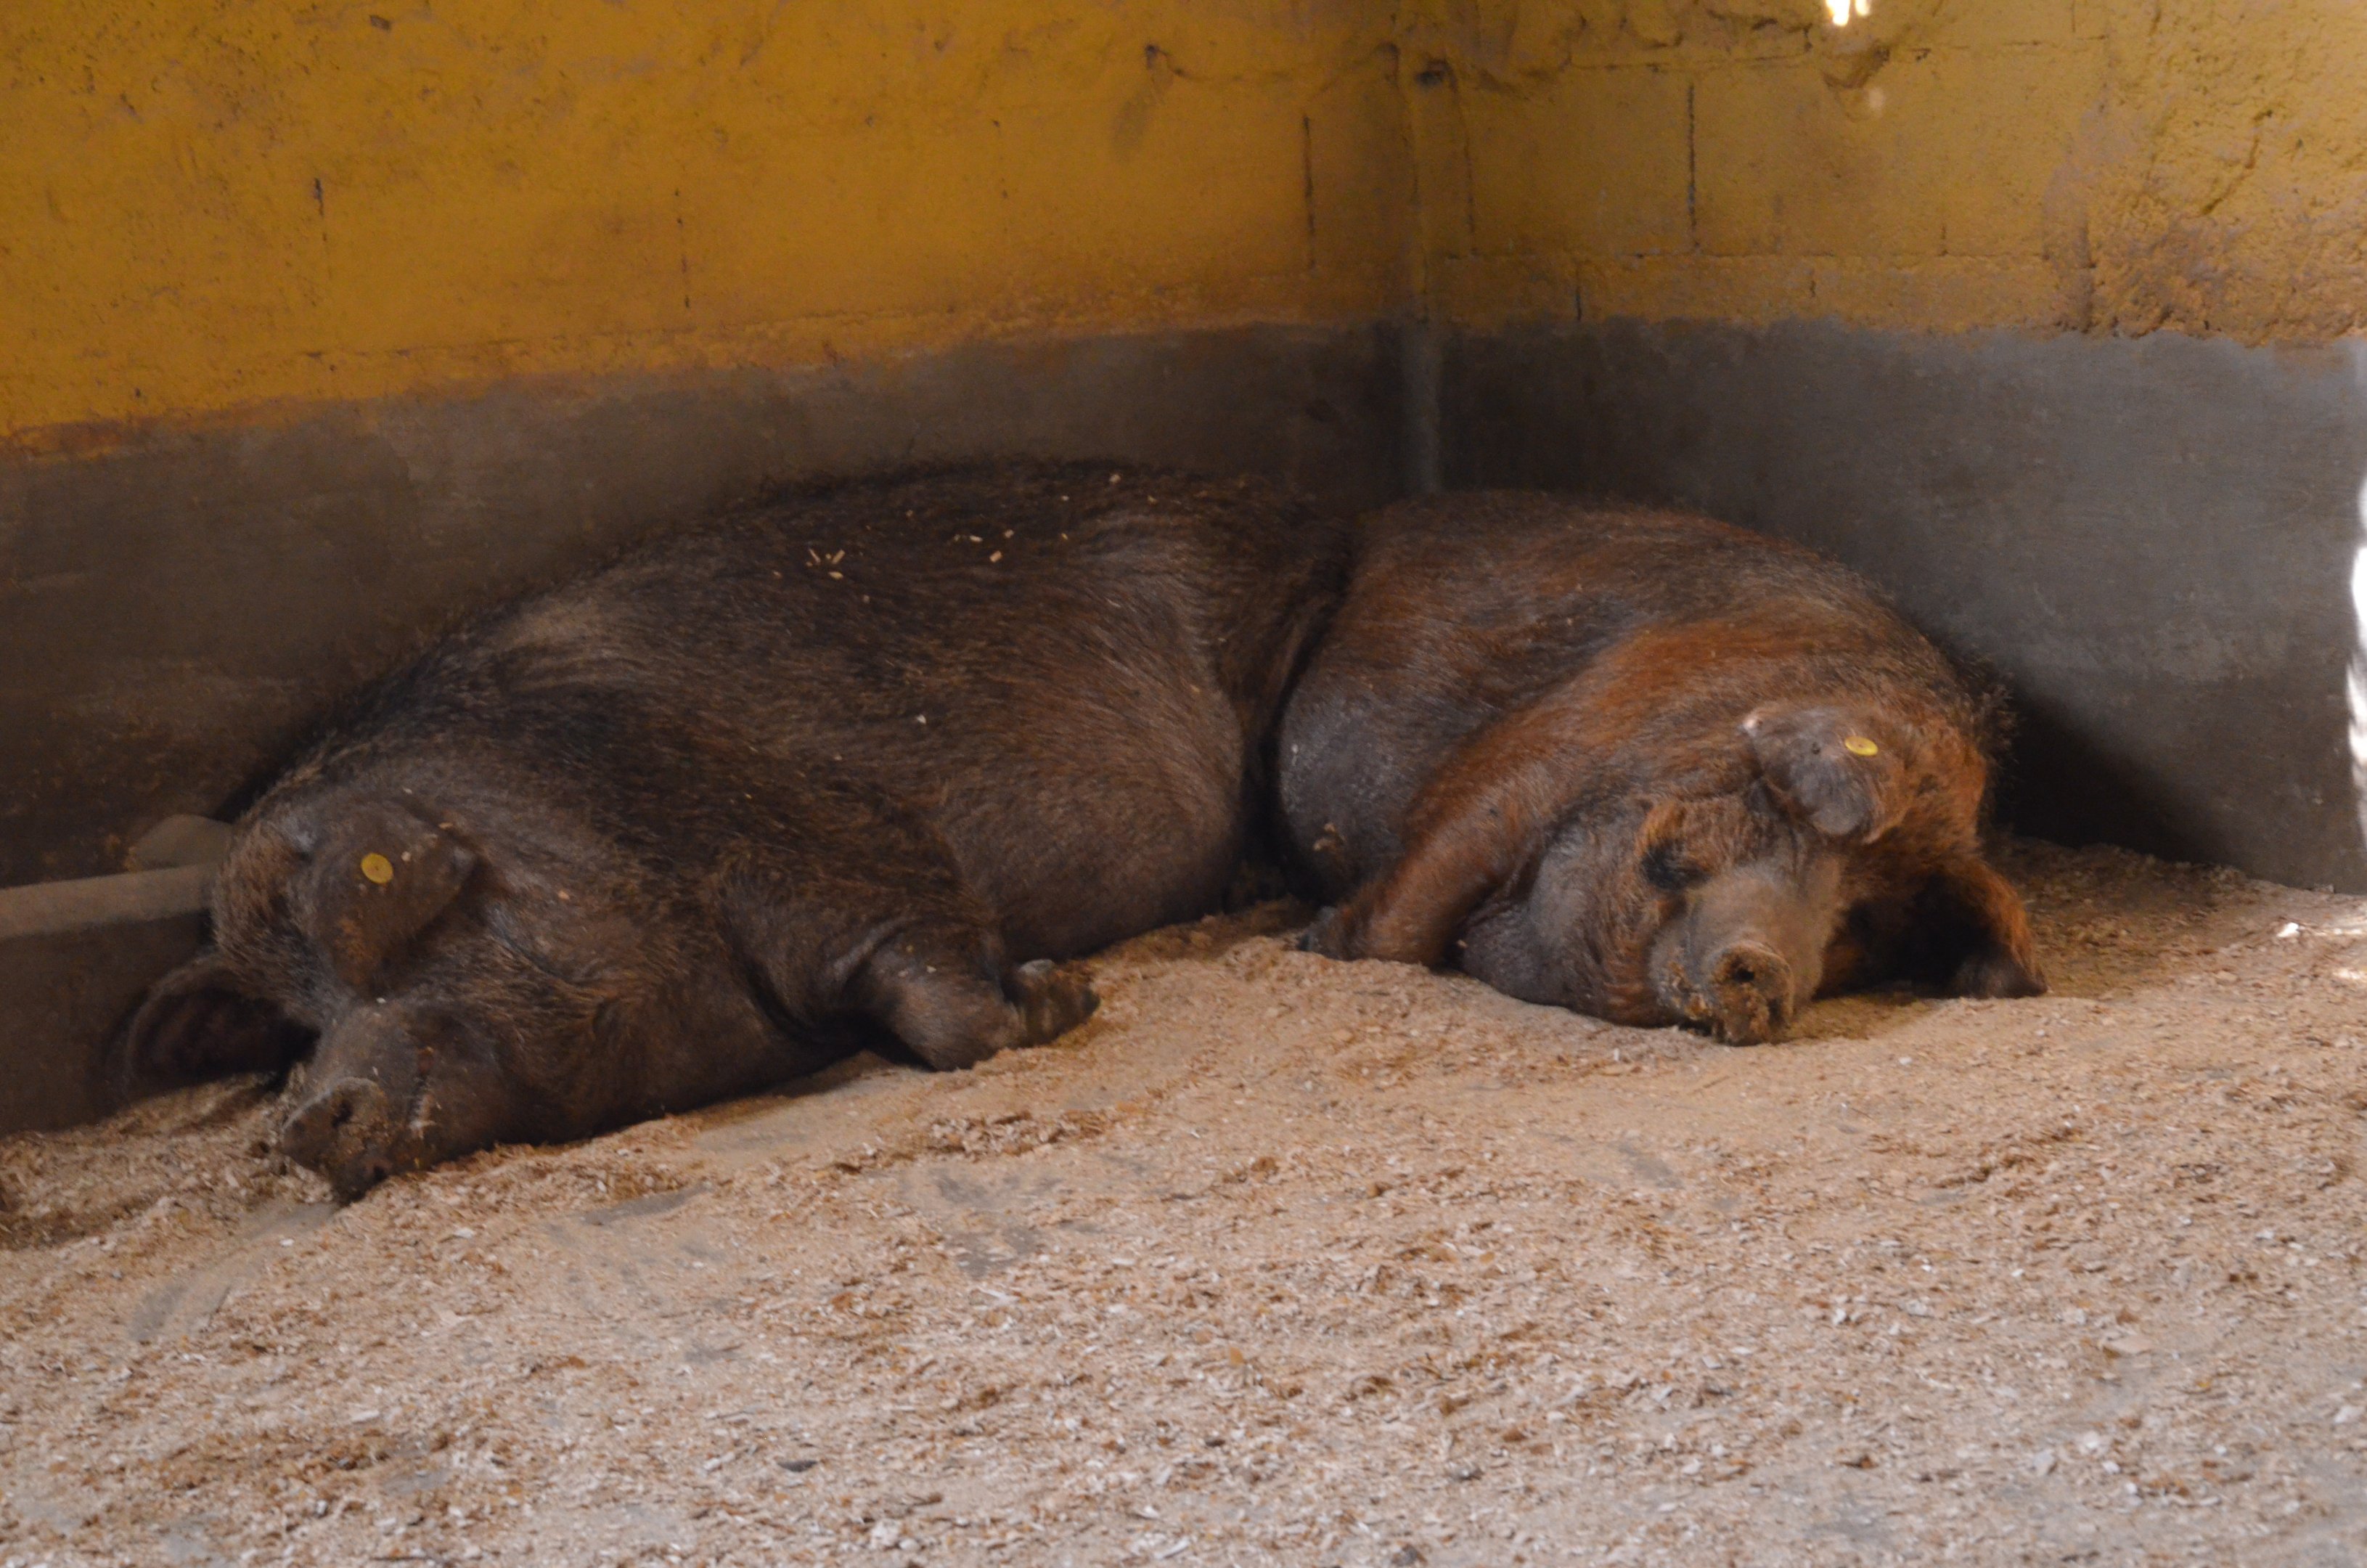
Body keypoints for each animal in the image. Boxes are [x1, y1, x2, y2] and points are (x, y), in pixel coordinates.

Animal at [121, 463, 1344, 1198]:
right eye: (292, 1020)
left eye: (380, 945)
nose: (303, 1119)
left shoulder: (834, 851)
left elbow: (942, 1000)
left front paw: (1064, 994)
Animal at [1279, 493, 2044, 1043]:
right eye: (1801, 831)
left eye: (1867, 920)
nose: (1773, 972)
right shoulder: (1519, 774)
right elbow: (1405, 919)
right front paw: (1311, 941)